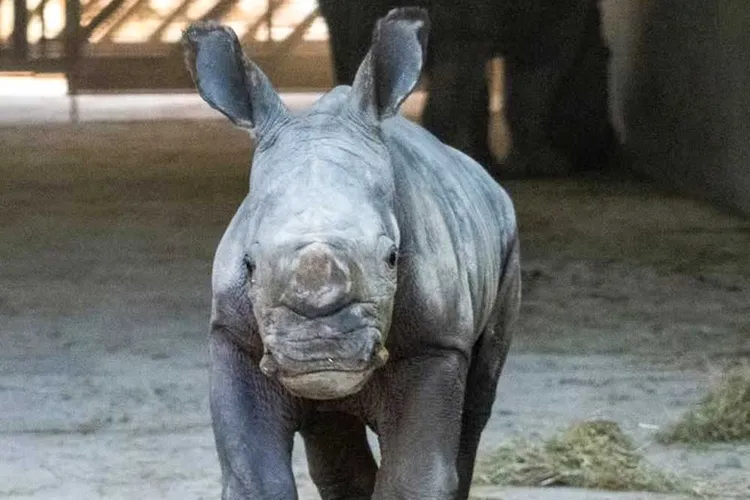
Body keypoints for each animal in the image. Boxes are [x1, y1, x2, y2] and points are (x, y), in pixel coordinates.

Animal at [182, 8, 521, 500]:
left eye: (393, 257)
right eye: (248, 264)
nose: (321, 351)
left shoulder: (436, 343)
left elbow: (415, 475)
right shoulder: (232, 337)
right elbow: (253, 474)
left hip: (507, 239)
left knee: (477, 406)